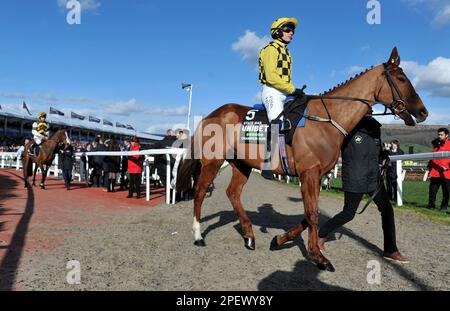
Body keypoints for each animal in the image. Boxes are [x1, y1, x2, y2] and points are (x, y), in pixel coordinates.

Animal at [175, 47, 428, 272]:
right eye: (401, 79)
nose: (423, 112)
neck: (326, 119)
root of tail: (211, 115)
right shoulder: (309, 173)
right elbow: (312, 214)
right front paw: (318, 257)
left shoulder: (315, 175)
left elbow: (309, 214)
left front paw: (280, 240)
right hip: (213, 162)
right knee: (200, 192)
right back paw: (198, 235)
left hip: (241, 164)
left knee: (233, 193)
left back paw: (248, 235)